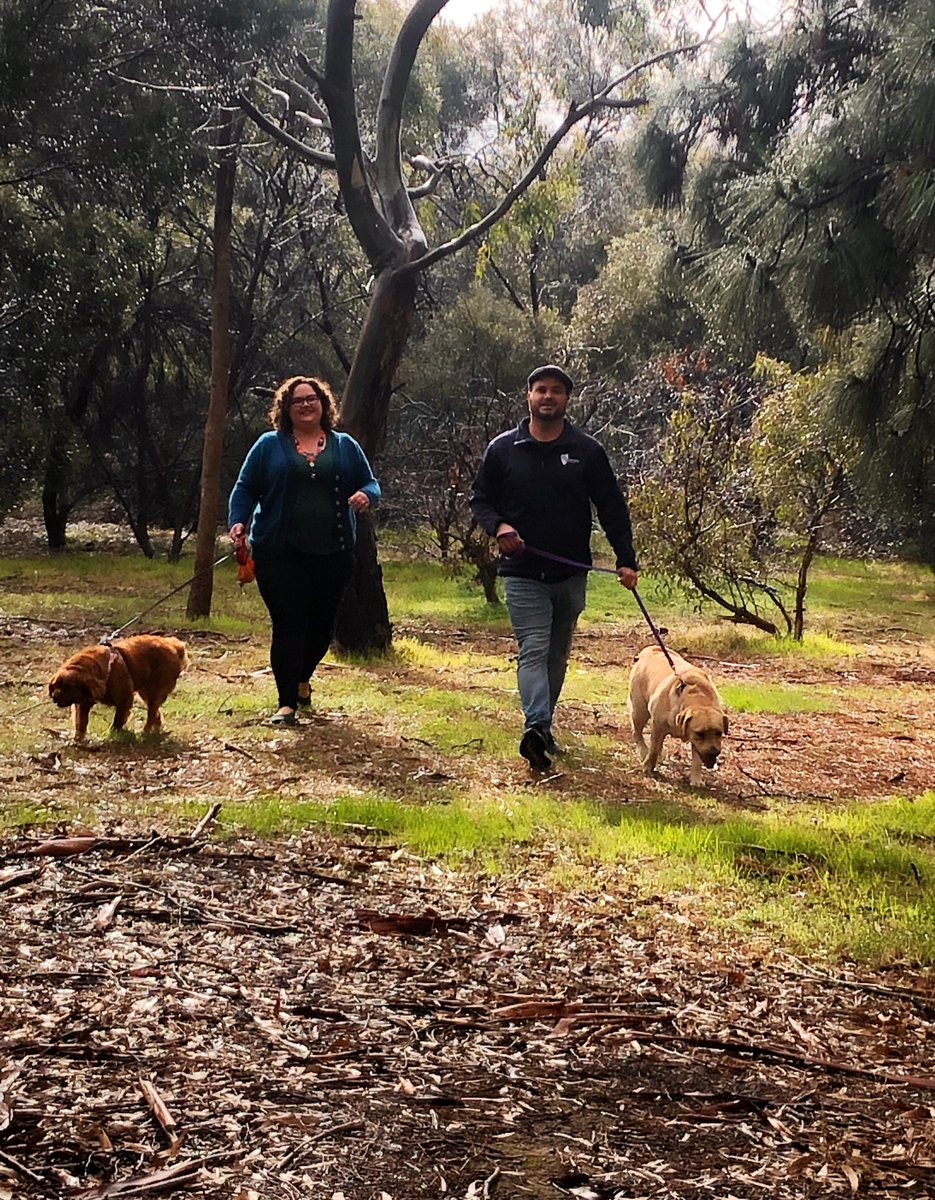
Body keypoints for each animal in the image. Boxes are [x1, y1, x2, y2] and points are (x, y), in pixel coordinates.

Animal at [48, 638, 188, 739]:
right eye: (55, 686)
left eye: (68, 687)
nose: (54, 697)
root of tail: (173, 645)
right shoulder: (83, 703)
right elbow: (81, 722)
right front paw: (78, 739)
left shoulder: (124, 699)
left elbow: (118, 720)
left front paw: (113, 734)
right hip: (145, 692)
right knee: (156, 713)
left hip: (154, 691)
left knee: (152, 714)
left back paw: (145, 732)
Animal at [628, 648, 729, 787]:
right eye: (700, 734)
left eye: (719, 733)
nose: (714, 752)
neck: (697, 697)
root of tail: (649, 650)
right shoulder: (657, 726)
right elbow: (653, 749)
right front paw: (648, 767)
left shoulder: (696, 742)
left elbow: (697, 760)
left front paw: (696, 780)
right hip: (640, 710)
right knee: (637, 733)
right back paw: (644, 752)